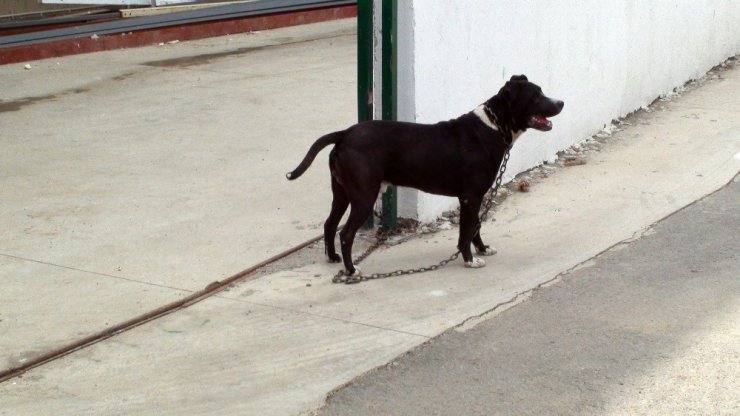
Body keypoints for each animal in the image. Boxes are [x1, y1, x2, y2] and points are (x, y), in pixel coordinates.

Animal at [286, 75, 564, 276]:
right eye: (536, 95)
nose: (561, 103)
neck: (492, 126)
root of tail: (344, 134)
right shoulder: (470, 197)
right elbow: (466, 231)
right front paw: (469, 260)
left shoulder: (475, 197)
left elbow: (475, 227)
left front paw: (482, 249)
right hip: (364, 196)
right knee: (345, 234)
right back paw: (351, 269)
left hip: (342, 192)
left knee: (330, 224)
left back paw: (333, 258)